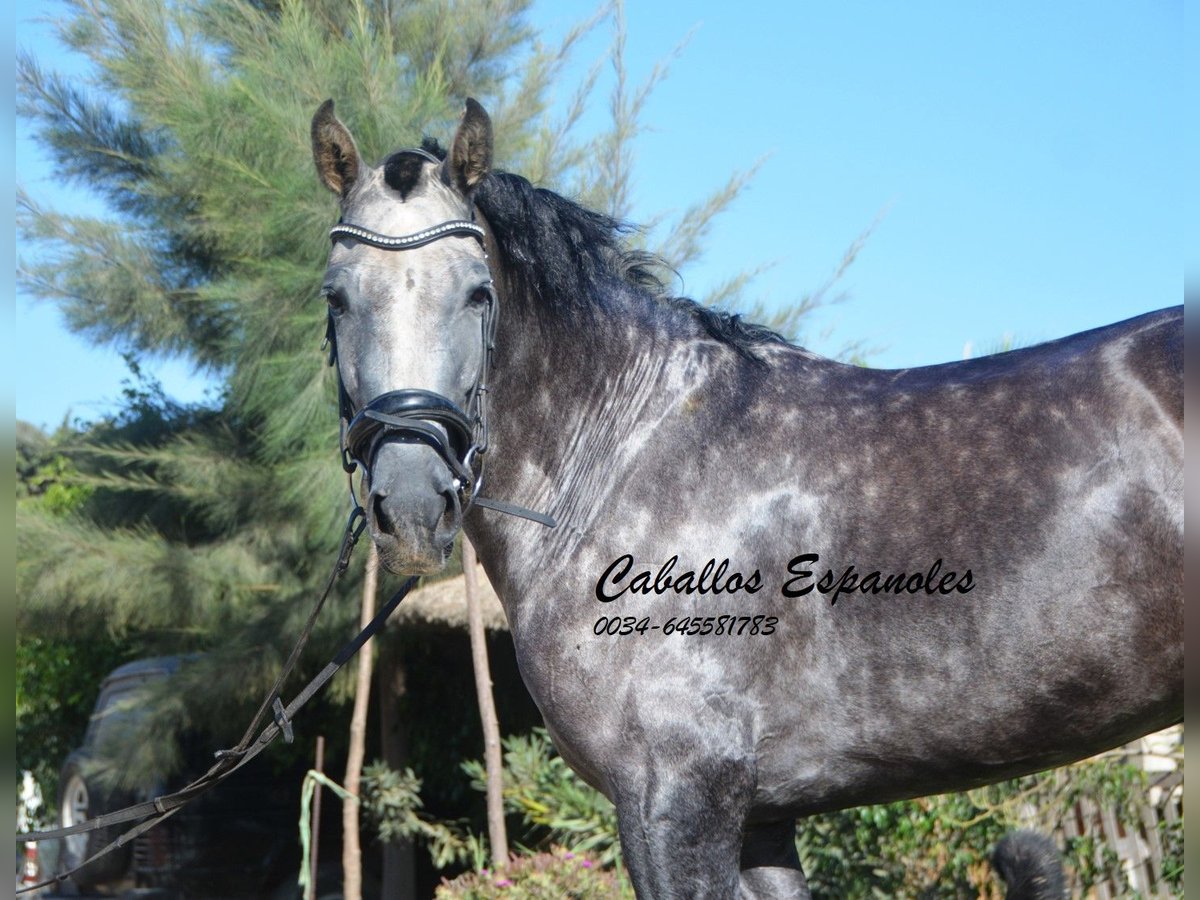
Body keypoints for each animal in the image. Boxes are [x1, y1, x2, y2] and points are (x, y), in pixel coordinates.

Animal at [309, 100, 1180, 900]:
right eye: (336, 298)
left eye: (477, 294)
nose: (411, 506)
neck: (626, 451)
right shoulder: (761, 818)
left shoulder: (676, 802)